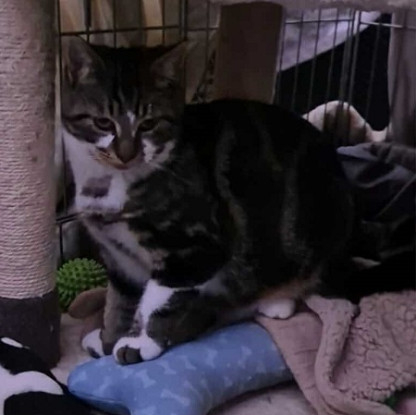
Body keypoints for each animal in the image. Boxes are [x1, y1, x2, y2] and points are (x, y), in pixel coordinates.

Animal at [61, 36, 354, 364]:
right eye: (103, 122)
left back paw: (275, 300)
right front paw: (107, 340)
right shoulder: (118, 257)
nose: (126, 154)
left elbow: (157, 297)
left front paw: (140, 343)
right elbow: (119, 300)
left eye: (148, 124)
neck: (108, 186)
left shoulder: (196, 248)